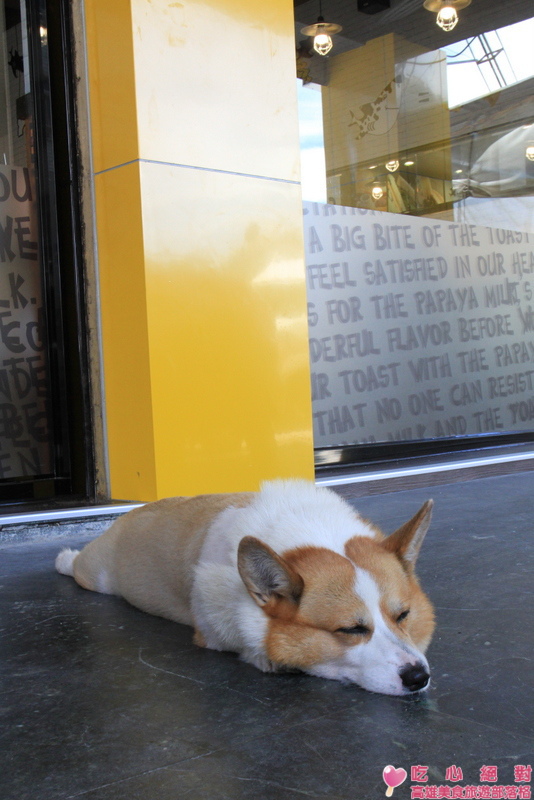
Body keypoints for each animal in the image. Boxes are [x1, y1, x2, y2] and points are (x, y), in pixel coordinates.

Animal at [57, 482, 436, 692]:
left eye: (403, 615)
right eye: (352, 629)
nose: (418, 678)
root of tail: (137, 509)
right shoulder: (213, 625)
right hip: (97, 576)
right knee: (79, 567)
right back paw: (64, 558)